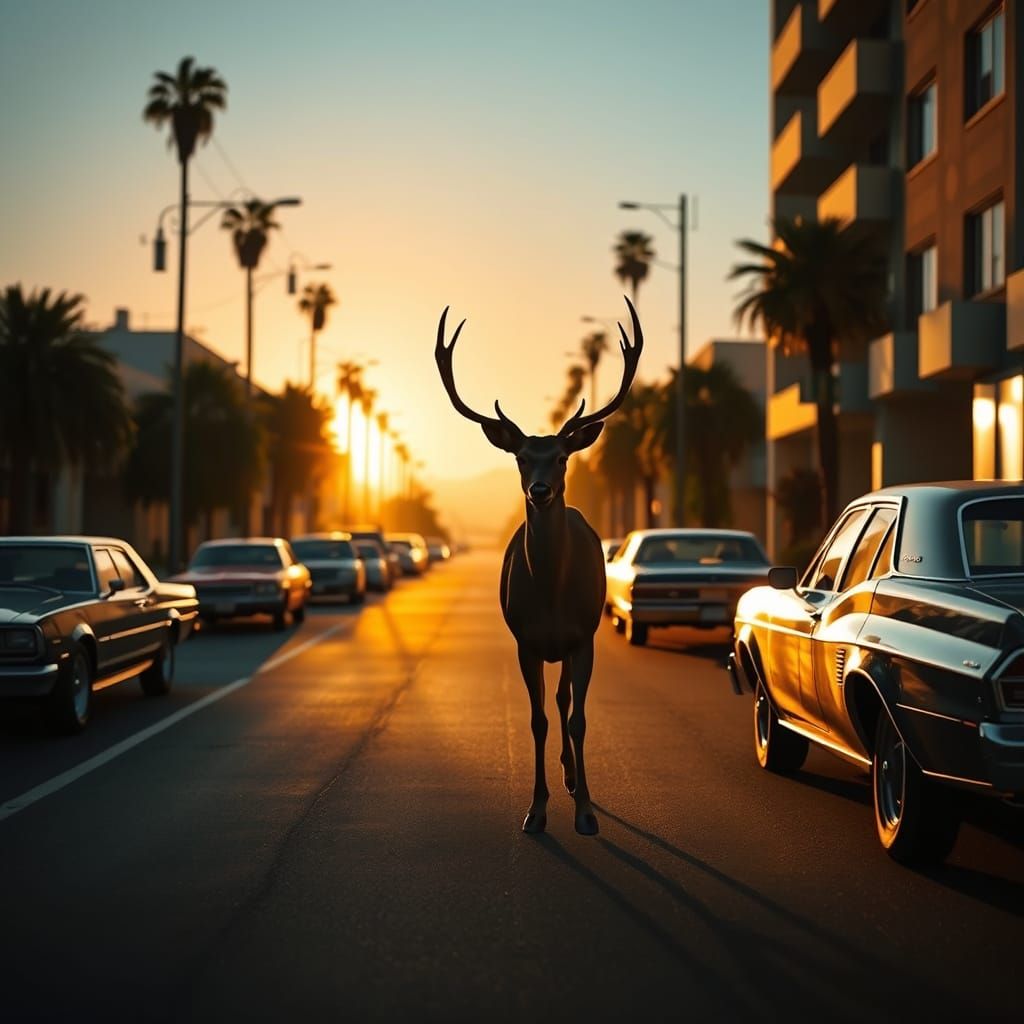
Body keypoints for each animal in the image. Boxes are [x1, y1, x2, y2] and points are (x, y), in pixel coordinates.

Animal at [435, 298, 643, 836]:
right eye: (522, 458)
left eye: (564, 457)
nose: (541, 490)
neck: (550, 596)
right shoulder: (525, 640)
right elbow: (537, 720)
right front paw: (536, 809)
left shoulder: (583, 637)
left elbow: (578, 719)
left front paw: (586, 810)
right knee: (556, 704)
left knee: (567, 701)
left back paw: (573, 778)